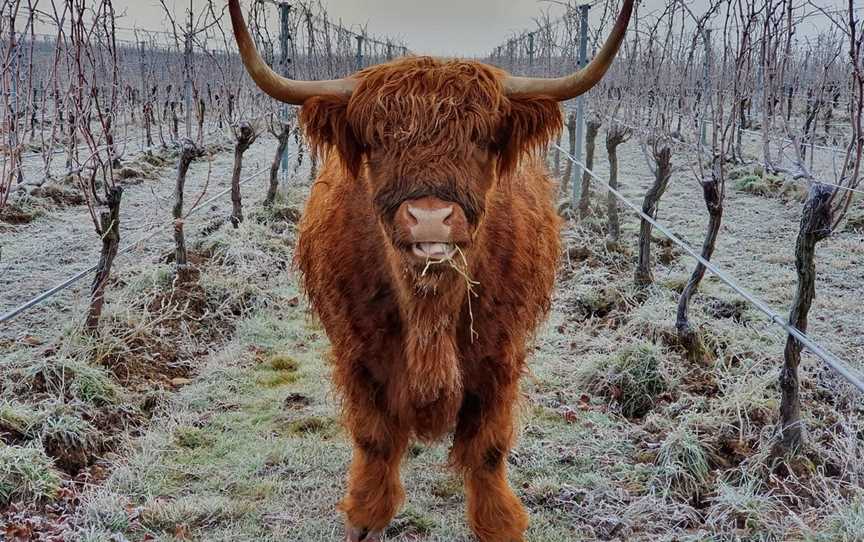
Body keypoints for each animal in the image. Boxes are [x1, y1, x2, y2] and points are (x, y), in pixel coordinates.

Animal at [230, 2, 636, 540]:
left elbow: (488, 449)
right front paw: (366, 516)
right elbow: (375, 439)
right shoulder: (358, 355)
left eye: (482, 140)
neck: (429, 311)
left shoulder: (500, 356)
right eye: (377, 142)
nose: (428, 216)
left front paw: (499, 522)